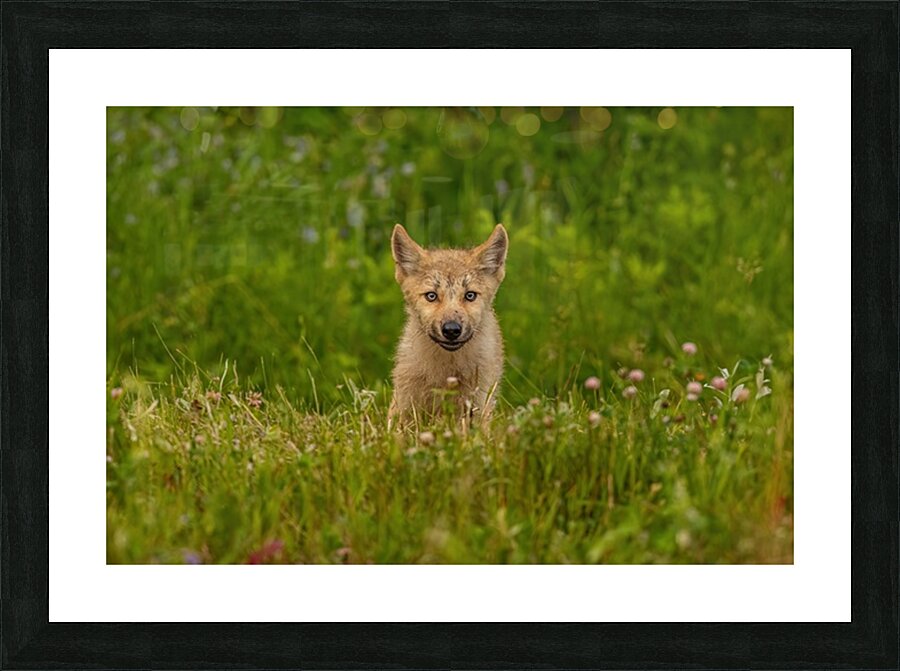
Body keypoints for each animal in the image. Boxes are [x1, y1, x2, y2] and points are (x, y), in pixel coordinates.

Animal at [388, 223, 508, 429]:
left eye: (470, 295)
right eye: (431, 296)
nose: (451, 330)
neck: (447, 371)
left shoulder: (477, 404)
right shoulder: (405, 404)